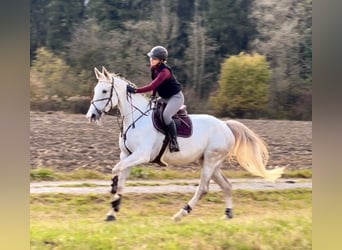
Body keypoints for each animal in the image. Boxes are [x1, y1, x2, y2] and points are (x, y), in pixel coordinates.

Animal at [87, 66, 284, 221]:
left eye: (104, 91)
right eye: (96, 89)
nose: (91, 116)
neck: (136, 118)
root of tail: (225, 125)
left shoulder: (141, 155)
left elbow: (115, 171)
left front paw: (113, 197)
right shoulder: (127, 155)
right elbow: (120, 179)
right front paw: (113, 210)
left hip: (211, 160)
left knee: (203, 188)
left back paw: (181, 214)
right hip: (209, 162)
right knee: (226, 186)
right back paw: (228, 214)